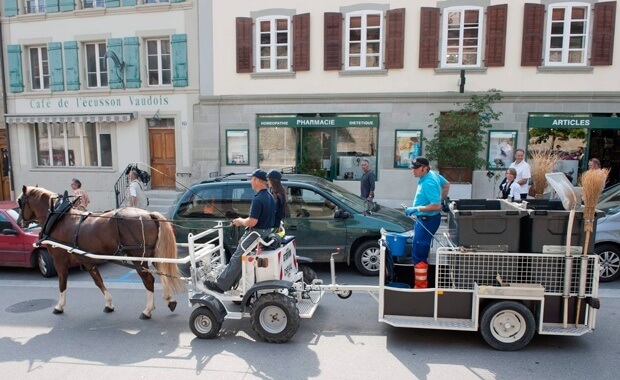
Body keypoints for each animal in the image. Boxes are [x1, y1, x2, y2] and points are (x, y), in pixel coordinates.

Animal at [17, 186, 184, 320]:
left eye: (20, 202)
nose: (20, 222)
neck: (58, 217)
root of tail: (149, 215)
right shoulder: (87, 260)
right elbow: (98, 280)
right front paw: (109, 304)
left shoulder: (59, 260)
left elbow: (62, 283)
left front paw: (59, 306)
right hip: (153, 254)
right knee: (162, 273)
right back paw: (169, 300)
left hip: (139, 258)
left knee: (149, 280)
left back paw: (147, 311)